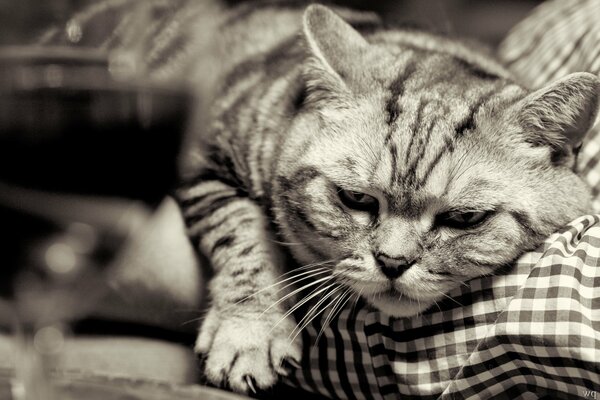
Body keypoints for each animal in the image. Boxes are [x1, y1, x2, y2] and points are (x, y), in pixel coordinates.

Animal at [43, 0, 600, 394]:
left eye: (464, 219)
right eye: (355, 200)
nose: (392, 262)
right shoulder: (200, 158)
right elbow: (243, 234)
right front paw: (251, 331)